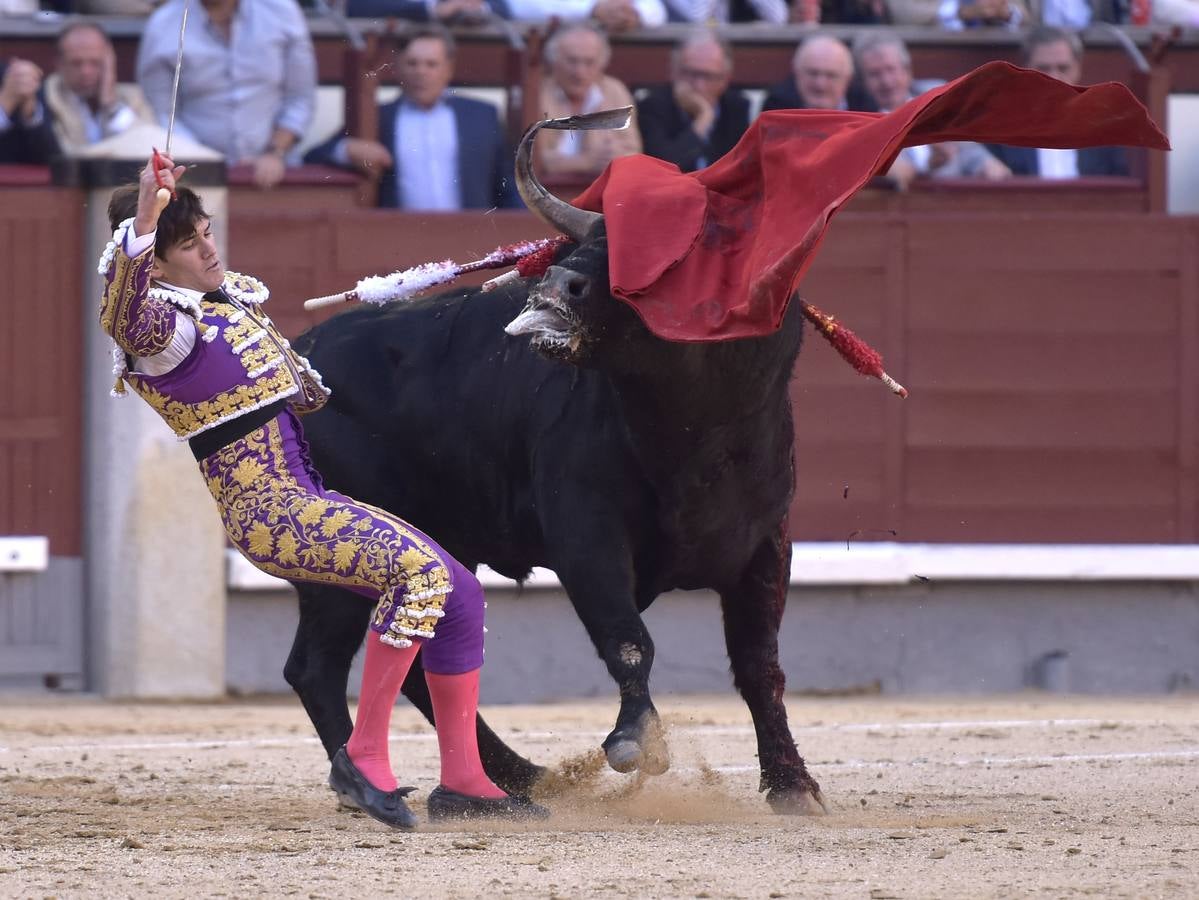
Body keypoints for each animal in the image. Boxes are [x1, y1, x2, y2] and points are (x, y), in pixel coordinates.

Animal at [287, 109, 824, 814]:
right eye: (586, 246)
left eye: (667, 260)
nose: (554, 287)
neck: (691, 429)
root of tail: (301, 358)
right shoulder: (586, 537)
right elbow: (628, 638)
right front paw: (635, 741)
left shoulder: (767, 543)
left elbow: (762, 665)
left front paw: (792, 783)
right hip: (340, 559)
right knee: (318, 667)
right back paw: (374, 786)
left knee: (403, 665)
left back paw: (515, 779)